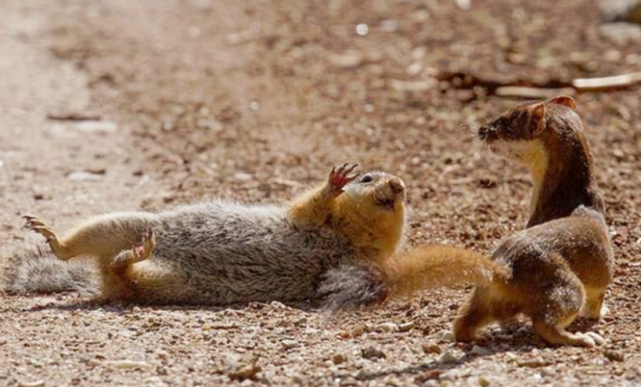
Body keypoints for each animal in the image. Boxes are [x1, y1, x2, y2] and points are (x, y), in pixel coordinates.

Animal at [332, 96, 612, 348]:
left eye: (505, 120)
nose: (481, 129)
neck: (571, 196)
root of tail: (504, 268)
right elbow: (596, 302)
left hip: (484, 294)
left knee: (465, 322)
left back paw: (480, 336)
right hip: (565, 283)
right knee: (545, 321)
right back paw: (584, 338)